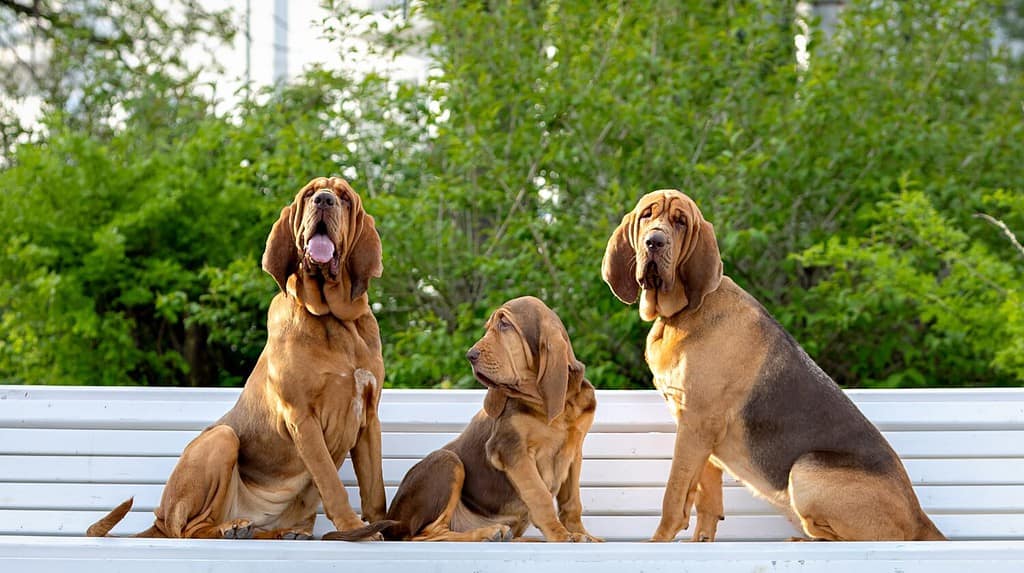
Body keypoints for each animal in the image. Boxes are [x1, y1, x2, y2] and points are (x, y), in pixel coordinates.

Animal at [88, 177, 389, 540]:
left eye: (344, 198)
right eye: (308, 194)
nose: (324, 200)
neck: (333, 318)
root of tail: (157, 519)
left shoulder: (369, 418)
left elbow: (374, 489)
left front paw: (385, 526)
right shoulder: (302, 416)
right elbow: (332, 482)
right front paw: (354, 528)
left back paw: (283, 532)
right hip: (221, 440)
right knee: (187, 528)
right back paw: (230, 527)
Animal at [362, 296, 598, 544]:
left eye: (505, 324)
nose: (470, 355)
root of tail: (392, 522)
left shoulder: (574, 452)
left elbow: (572, 502)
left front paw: (582, 534)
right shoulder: (511, 449)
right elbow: (539, 495)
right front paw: (560, 534)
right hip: (447, 461)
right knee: (427, 534)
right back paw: (489, 532)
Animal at [598, 191, 942, 540]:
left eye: (680, 221)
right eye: (646, 215)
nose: (654, 241)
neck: (681, 314)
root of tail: (920, 519)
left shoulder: (695, 423)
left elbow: (674, 497)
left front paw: (658, 542)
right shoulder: (700, 432)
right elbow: (706, 501)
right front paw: (701, 542)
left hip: (805, 468)